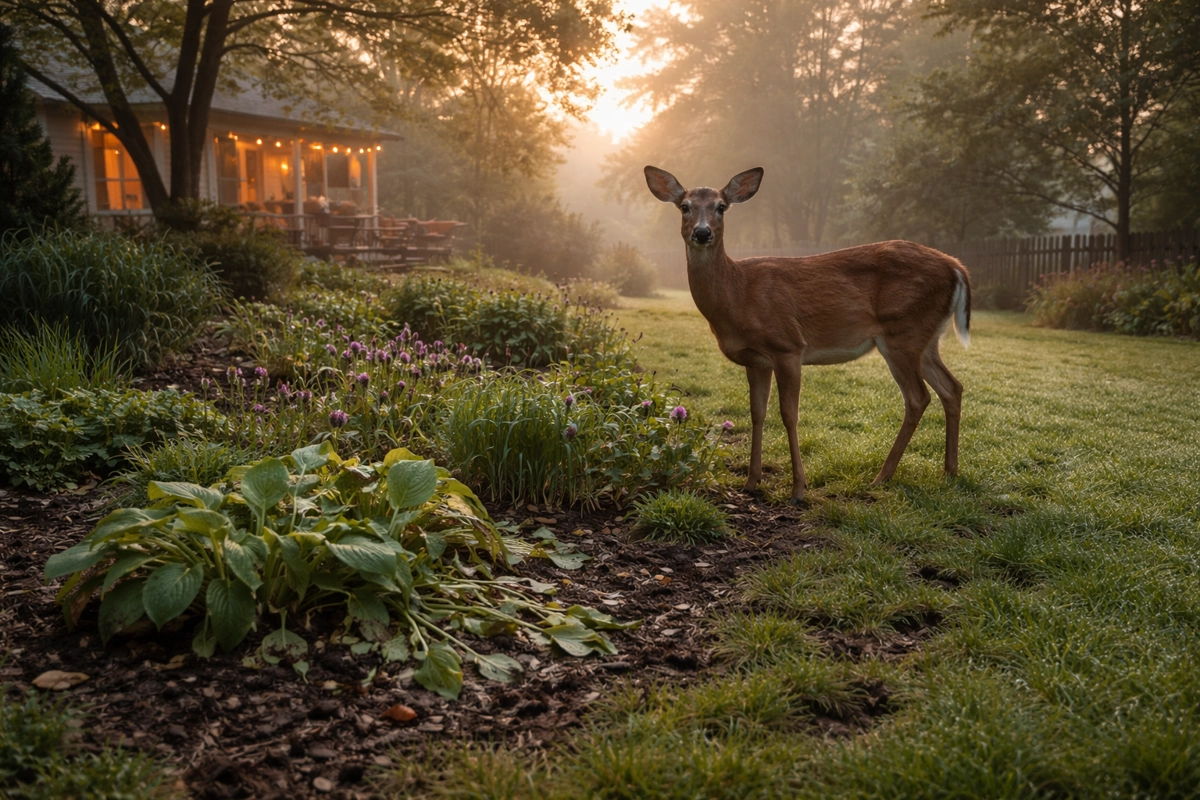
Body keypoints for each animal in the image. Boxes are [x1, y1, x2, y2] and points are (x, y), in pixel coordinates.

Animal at [644, 166, 971, 504]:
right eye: (685, 206)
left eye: (721, 207)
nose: (702, 233)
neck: (738, 294)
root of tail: (957, 267)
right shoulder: (756, 360)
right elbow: (757, 413)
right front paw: (751, 481)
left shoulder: (787, 346)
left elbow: (789, 414)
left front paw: (798, 488)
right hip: (926, 338)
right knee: (952, 387)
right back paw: (949, 472)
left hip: (902, 331)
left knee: (918, 397)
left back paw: (883, 476)